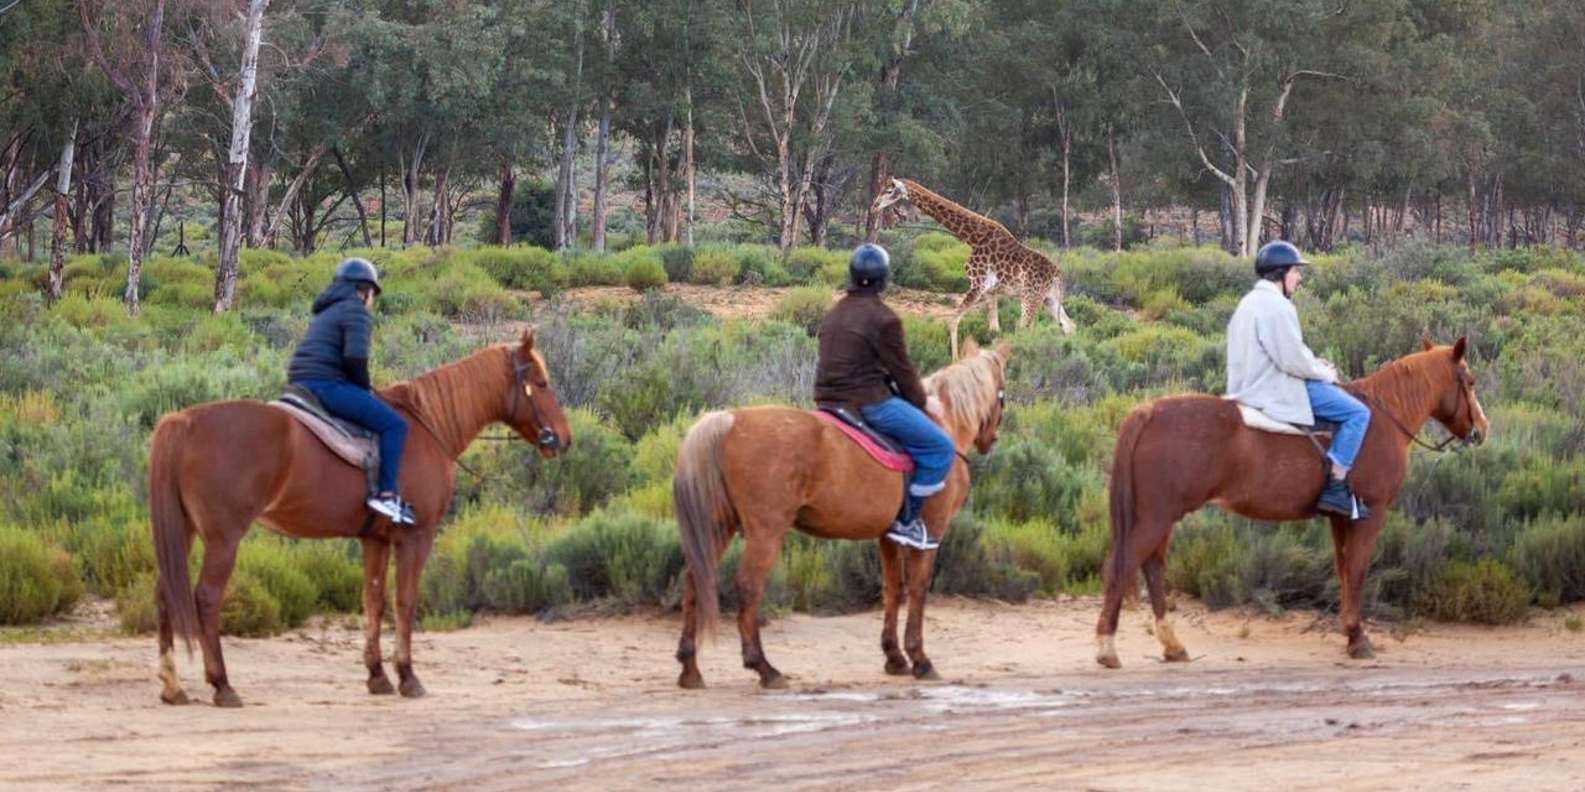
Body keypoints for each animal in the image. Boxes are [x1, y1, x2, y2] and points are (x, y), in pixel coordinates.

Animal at [145, 327, 573, 706]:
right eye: (540, 382)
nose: (563, 438)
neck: (428, 425)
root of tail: (183, 421)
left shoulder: (375, 540)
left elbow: (373, 602)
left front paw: (377, 676)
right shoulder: (416, 537)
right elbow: (405, 602)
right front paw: (408, 677)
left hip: (185, 531)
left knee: (166, 593)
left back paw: (172, 686)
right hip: (223, 539)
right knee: (205, 598)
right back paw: (222, 685)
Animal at [675, 340, 1008, 687]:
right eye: (1003, 390)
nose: (991, 439)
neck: (945, 425)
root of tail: (729, 420)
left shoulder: (888, 536)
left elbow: (892, 589)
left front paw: (894, 658)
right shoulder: (931, 533)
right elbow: (917, 589)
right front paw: (920, 660)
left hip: (719, 526)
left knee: (694, 579)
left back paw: (690, 668)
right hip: (765, 531)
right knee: (748, 586)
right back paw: (764, 668)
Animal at [868, 177, 1077, 359]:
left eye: (889, 190)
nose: (874, 207)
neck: (974, 238)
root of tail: (1058, 275)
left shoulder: (977, 285)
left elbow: (953, 321)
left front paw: (955, 360)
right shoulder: (992, 292)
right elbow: (994, 329)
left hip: (1030, 297)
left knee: (1025, 329)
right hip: (1049, 299)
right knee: (1069, 326)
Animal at [1096, 337, 1489, 665]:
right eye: (1469, 381)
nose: (1482, 429)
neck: (1382, 417)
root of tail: (1147, 412)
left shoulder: (1340, 518)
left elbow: (1344, 570)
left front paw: (1349, 634)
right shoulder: (1371, 513)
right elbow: (1358, 571)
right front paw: (1358, 639)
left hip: (1161, 517)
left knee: (1152, 567)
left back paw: (1173, 646)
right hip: (1156, 516)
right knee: (1123, 565)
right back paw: (1107, 648)